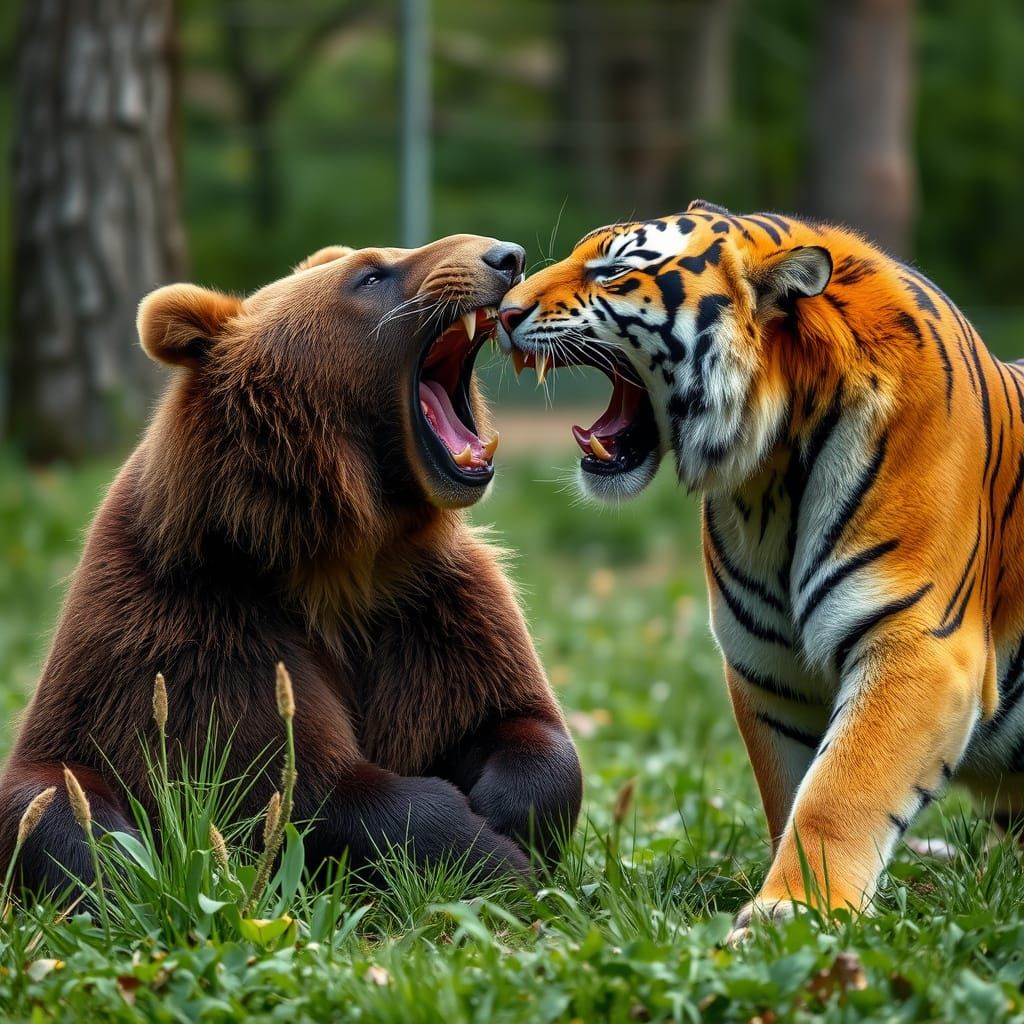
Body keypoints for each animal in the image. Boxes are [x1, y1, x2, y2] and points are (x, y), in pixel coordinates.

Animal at [0, 234, 582, 896]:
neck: (337, 554)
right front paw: (488, 854)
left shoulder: (434, 608)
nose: (505, 256)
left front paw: (509, 811)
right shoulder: (194, 625)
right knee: (69, 823)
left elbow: (517, 721)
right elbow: (297, 783)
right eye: (371, 276)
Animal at [496, 199, 1024, 936]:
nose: (503, 310)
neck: (773, 470)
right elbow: (792, 790)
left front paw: (796, 909)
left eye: (613, 272)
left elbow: (842, 788)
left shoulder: (919, 644)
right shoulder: (768, 665)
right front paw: (796, 902)